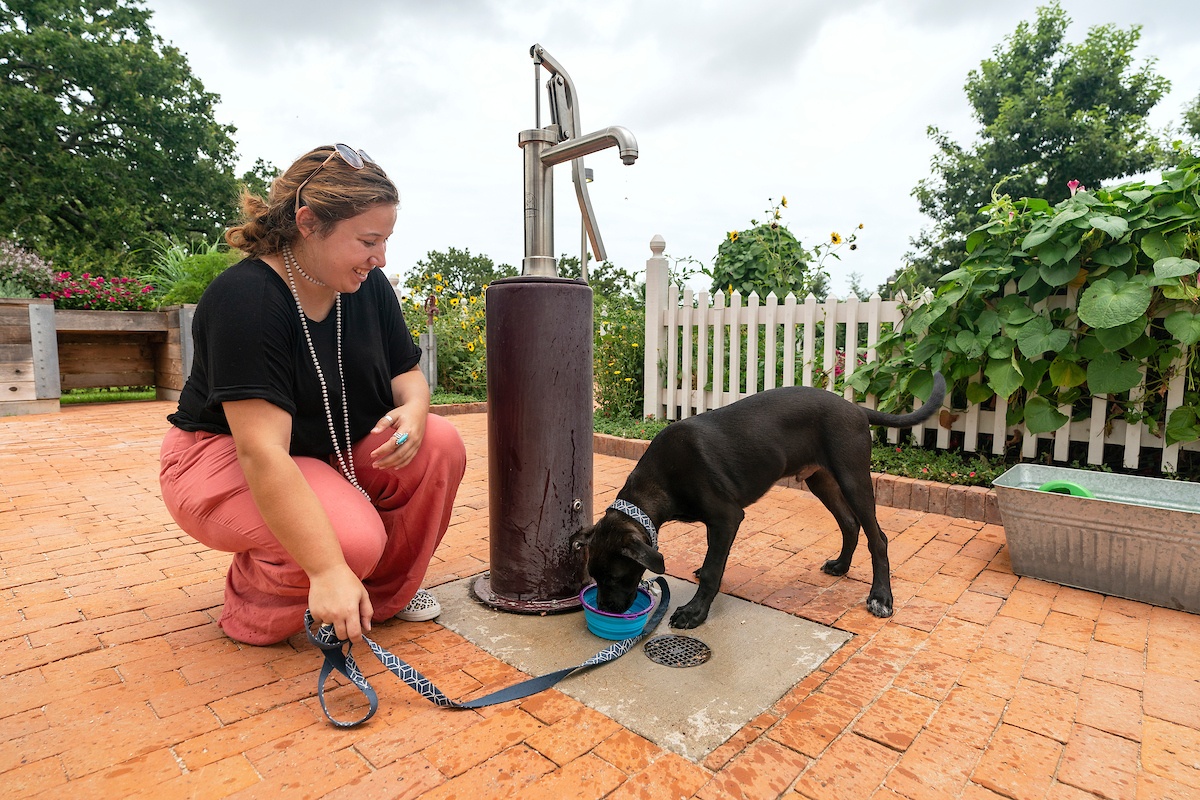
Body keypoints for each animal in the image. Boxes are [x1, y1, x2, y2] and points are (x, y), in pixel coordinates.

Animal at [571, 376, 945, 633]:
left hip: (853, 476)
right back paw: (841, 566)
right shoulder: (716, 522)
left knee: (877, 537)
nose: (607, 609)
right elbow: (713, 557)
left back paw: (881, 597)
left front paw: (695, 612)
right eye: (595, 576)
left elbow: (712, 569)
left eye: (616, 577)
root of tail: (854, 408)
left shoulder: (726, 516)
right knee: (849, 523)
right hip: (820, 479)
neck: (659, 481)